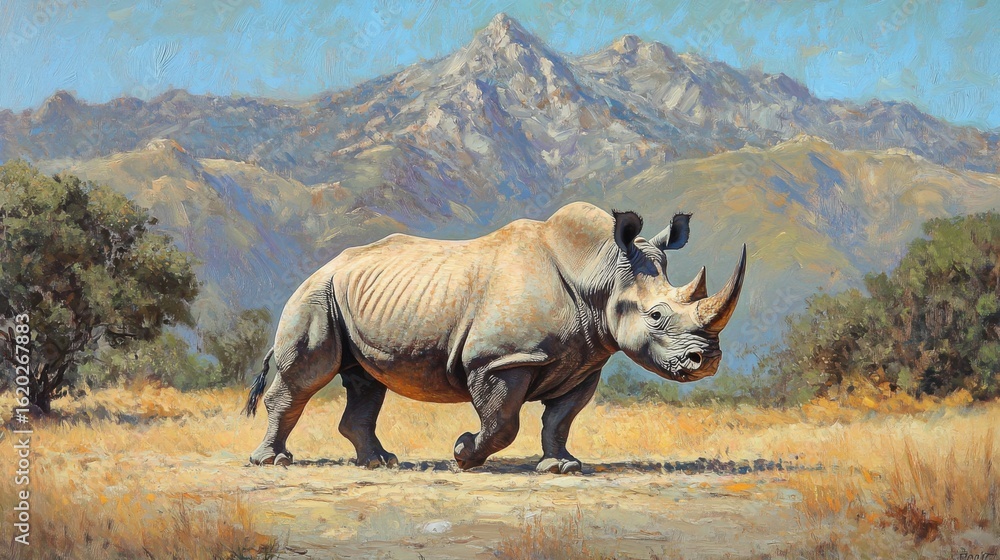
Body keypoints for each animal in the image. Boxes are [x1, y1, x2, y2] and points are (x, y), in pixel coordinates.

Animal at [245, 202, 746, 473]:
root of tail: (322, 266)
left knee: (366, 380)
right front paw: (463, 454)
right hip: (316, 295)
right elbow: (503, 421)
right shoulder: (501, 359)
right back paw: (272, 462)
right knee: (306, 376)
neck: (599, 274)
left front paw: (562, 466)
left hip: (352, 297)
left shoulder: (585, 359)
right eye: (657, 315)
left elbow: (559, 420)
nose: (707, 361)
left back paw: (381, 462)